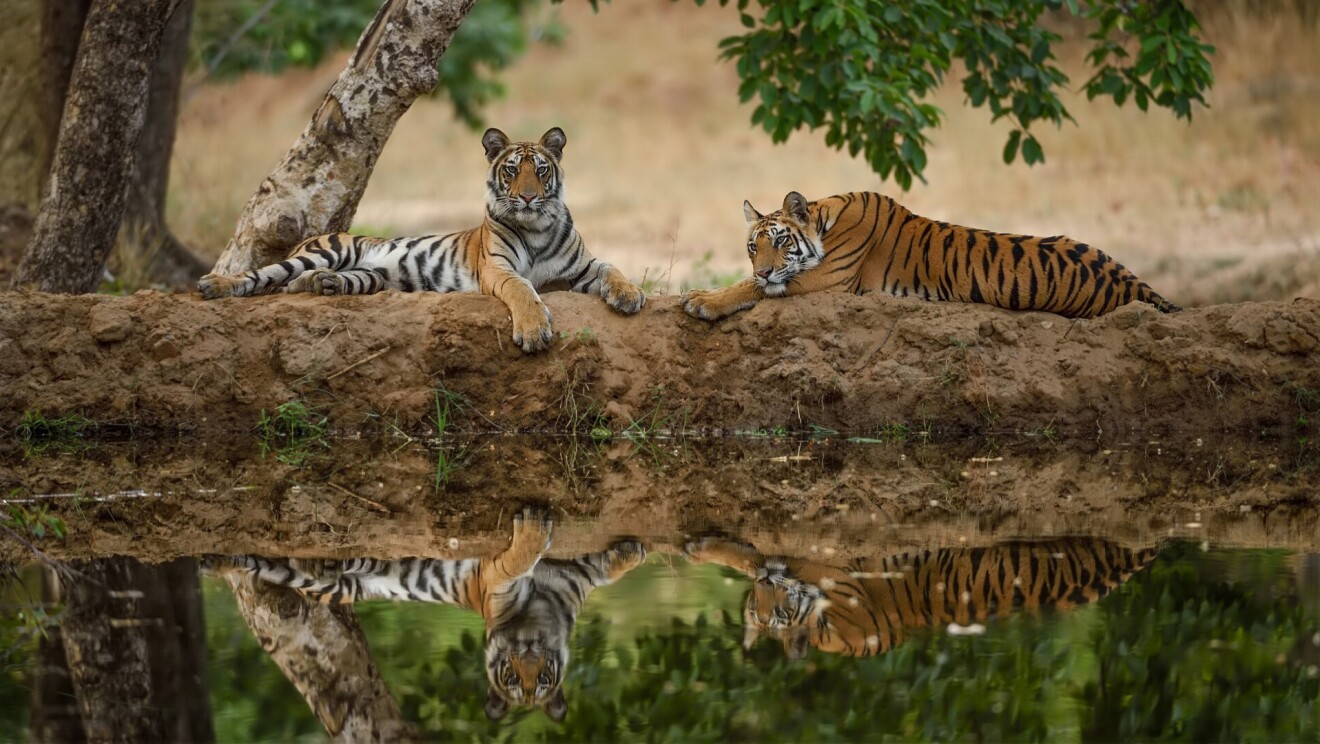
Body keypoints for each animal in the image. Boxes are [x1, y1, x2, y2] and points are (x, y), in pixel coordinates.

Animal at [197, 127, 646, 353]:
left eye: (540, 169)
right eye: (512, 170)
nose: (529, 197)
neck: (536, 227)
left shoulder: (582, 267)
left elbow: (612, 267)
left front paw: (629, 295)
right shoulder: (498, 269)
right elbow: (522, 290)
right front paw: (534, 330)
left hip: (369, 276)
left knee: (301, 284)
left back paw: (322, 284)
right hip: (328, 250)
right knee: (261, 276)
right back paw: (214, 285)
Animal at [202, 509, 647, 722]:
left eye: (542, 682)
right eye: (510, 678)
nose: (530, 658)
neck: (537, 623)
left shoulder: (570, 575)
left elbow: (602, 570)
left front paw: (628, 553)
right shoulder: (496, 582)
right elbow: (517, 559)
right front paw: (533, 530)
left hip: (344, 588)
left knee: (284, 566)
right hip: (354, 566)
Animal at [681, 191, 1181, 322]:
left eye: (782, 242)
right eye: (753, 246)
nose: (765, 267)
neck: (827, 219)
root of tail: (1131, 281)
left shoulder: (826, 280)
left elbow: (751, 287)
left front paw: (701, 300)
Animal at [684, 535, 1160, 659]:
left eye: (779, 613)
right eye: (755, 606)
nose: (767, 585)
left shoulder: (833, 570)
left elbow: (761, 553)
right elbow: (753, 557)